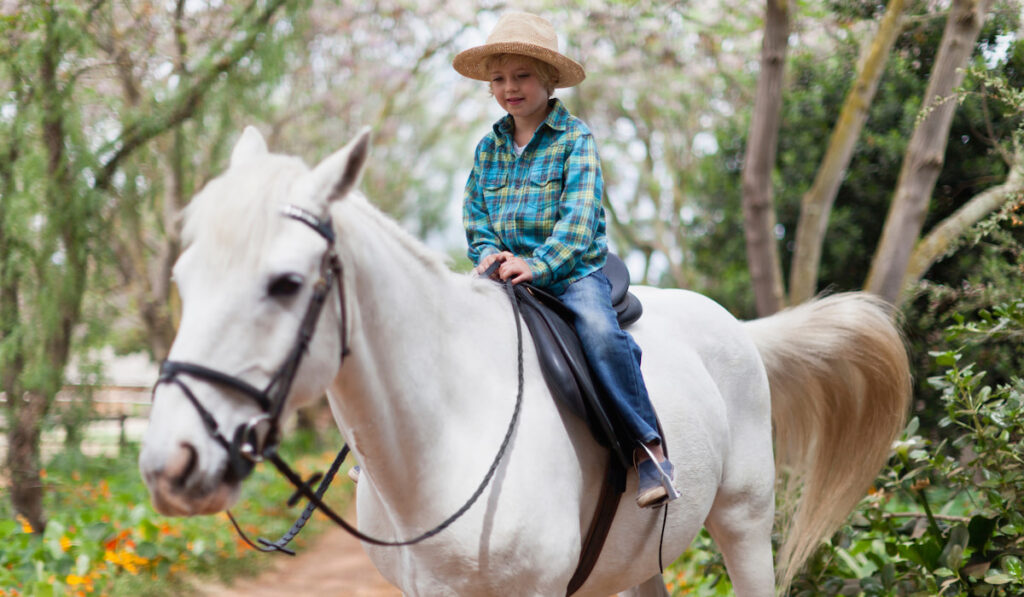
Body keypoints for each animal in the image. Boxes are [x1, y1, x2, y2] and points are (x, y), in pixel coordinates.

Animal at [138, 128, 913, 593]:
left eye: (286, 283)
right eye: (183, 279)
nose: (171, 464)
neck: (445, 435)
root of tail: (740, 332)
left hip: (746, 524)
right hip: (643, 558)